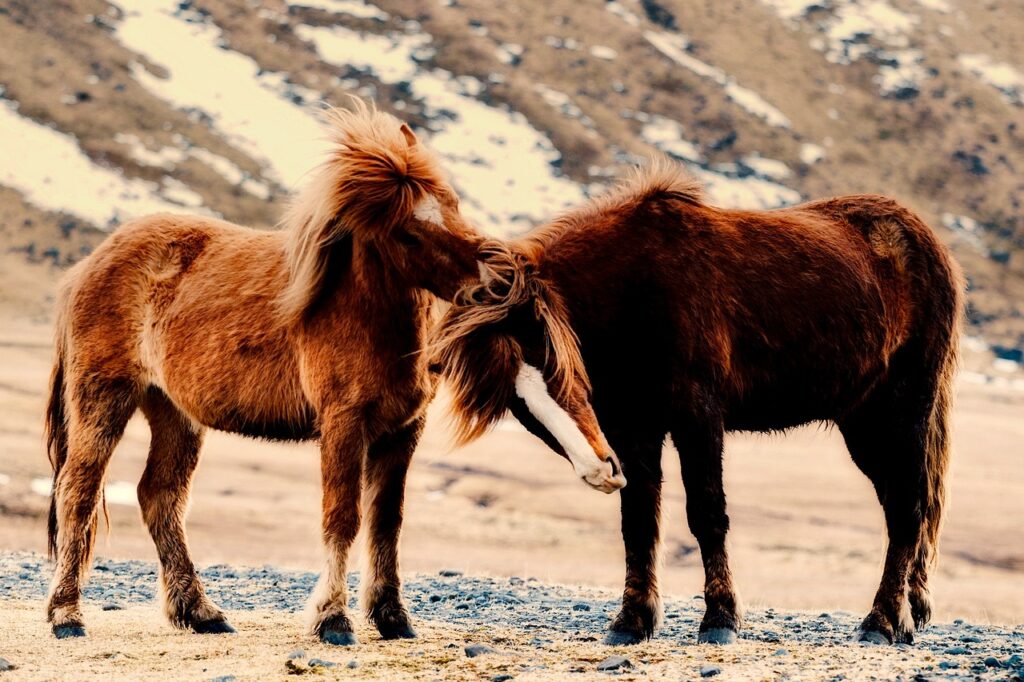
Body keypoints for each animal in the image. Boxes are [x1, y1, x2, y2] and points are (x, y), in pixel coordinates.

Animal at [43, 103, 489, 645]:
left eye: (453, 203)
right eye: (407, 229)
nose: (493, 276)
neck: (360, 308)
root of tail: (87, 265)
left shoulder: (402, 430)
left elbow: (387, 522)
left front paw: (392, 617)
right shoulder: (344, 423)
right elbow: (342, 517)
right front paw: (333, 619)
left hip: (173, 411)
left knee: (159, 496)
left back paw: (201, 612)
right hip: (104, 398)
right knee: (78, 492)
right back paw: (67, 616)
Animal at [431, 159, 963, 647]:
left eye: (554, 362)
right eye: (517, 403)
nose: (600, 471)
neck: (634, 290)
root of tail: (924, 240)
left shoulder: (698, 418)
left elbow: (706, 514)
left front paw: (720, 618)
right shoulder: (633, 430)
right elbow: (638, 521)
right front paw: (632, 621)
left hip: (903, 409)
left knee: (908, 507)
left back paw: (882, 622)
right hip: (863, 424)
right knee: (903, 507)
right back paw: (908, 614)